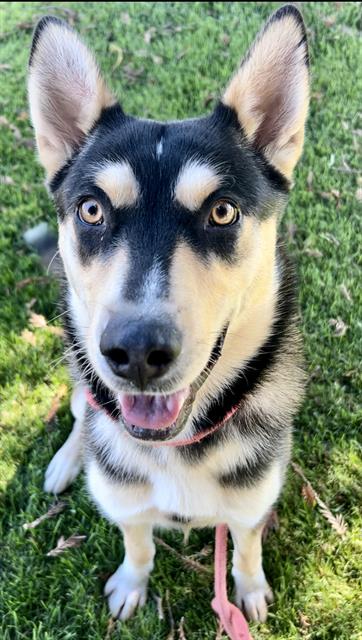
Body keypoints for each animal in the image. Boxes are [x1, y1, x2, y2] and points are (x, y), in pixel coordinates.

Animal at [28, 3, 310, 624]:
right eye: (91, 210)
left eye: (222, 212)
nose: (135, 351)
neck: (179, 447)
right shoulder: (127, 504)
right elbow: (138, 542)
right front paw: (131, 584)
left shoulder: (250, 504)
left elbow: (246, 547)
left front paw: (249, 590)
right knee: (82, 407)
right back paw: (68, 460)